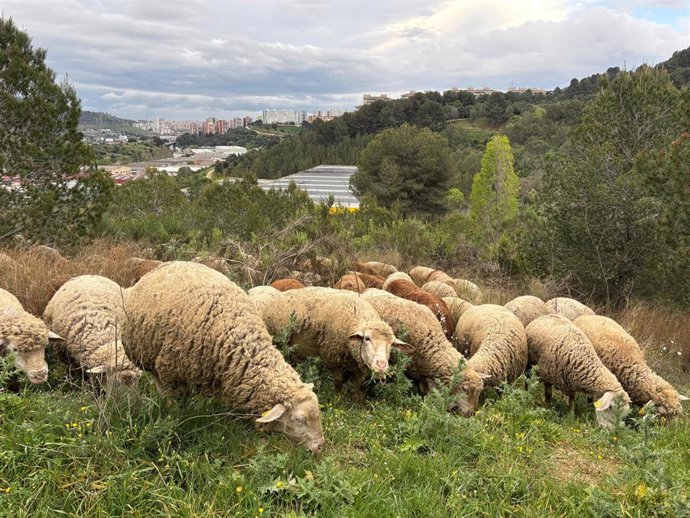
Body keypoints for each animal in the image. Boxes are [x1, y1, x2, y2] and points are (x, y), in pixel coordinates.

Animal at [121, 261, 325, 453]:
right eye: (300, 419)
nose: (320, 446)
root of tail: (170, 263)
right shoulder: (171, 373)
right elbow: (177, 404)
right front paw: (176, 416)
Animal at [259, 287, 413, 402]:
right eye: (367, 339)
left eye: (392, 344)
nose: (381, 365)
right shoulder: (331, 357)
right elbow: (339, 381)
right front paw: (337, 400)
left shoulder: (359, 363)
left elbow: (358, 386)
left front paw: (361, 405)